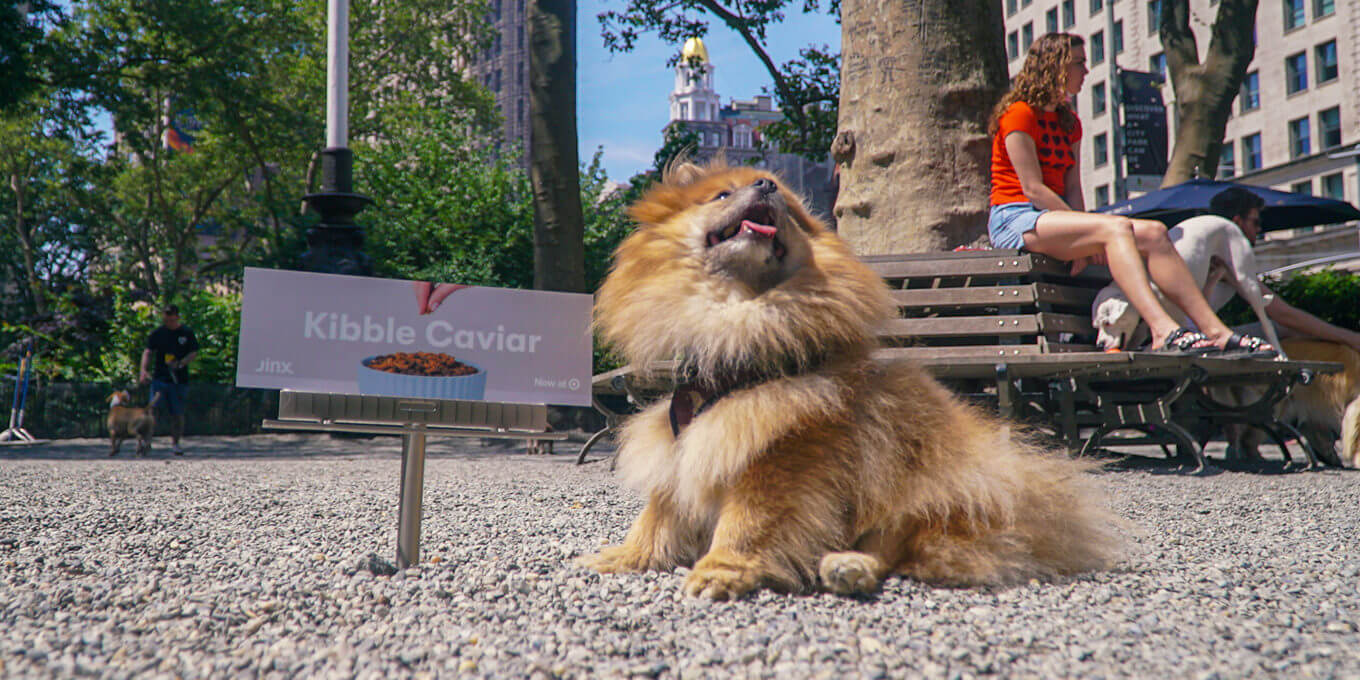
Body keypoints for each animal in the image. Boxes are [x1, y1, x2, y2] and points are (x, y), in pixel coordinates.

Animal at [584, 161, 1126, 598]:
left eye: (786, 205)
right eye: (721, 195)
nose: (766, 185)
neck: (737, 322)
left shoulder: (778, 453)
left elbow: (747, 523)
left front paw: (722, 570)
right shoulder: (679, 441)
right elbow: (657, 514)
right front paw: (625, 557)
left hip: (922, 480)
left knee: (895, 543)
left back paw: (850, 566)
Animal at [1093, 216, 1283, 361]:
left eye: (1108, 322)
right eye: (1097, 326)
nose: (1100, 345)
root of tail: (1227, 220)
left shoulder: (1177, 317)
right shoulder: (1139, 328)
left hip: (1246, 281)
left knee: (1266, 322)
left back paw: (1279, 354)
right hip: (1208, 284)